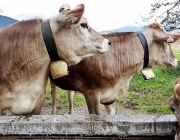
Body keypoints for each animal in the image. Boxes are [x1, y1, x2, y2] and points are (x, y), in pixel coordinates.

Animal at [50, 22, 180, 115]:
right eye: (168, 44)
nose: (176, 60)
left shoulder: (110, 97)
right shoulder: (91, 93)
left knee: (70, 95)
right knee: (54, 96)